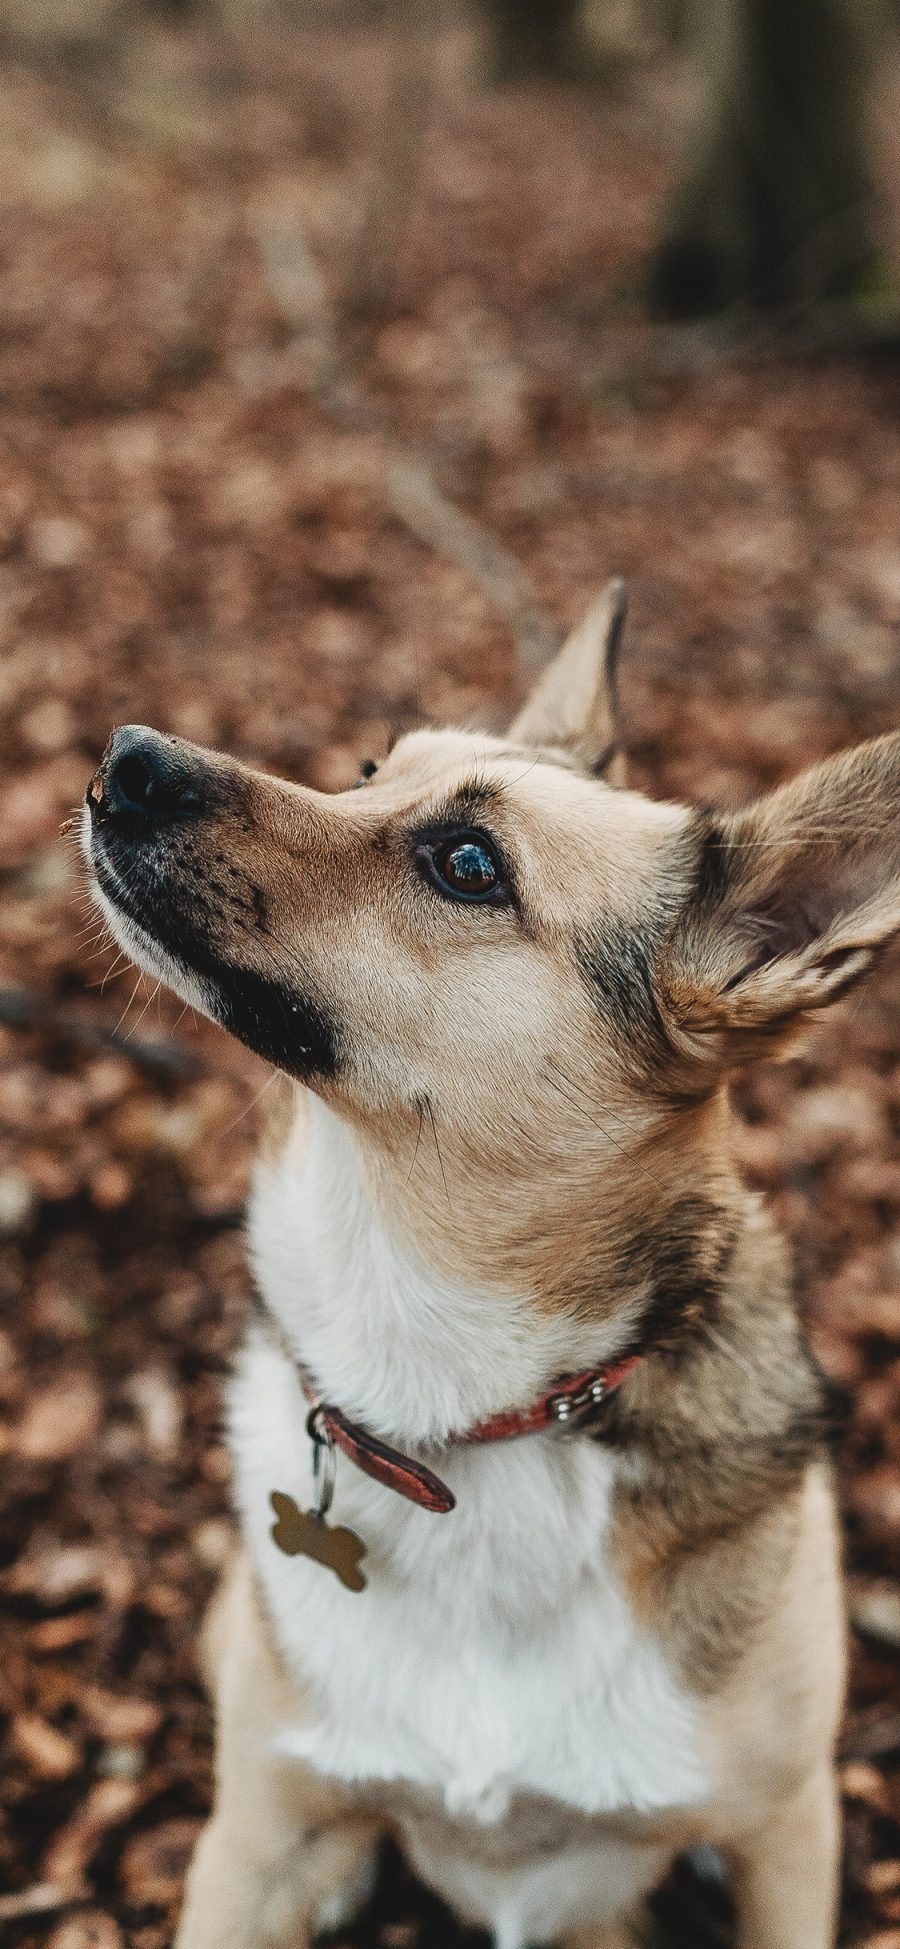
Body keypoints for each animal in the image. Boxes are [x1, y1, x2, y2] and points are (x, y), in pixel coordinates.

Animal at [80, 580, 896, 1949]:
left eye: (467, 863)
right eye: (370, 771)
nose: (126, 753)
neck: (458, 1412)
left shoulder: (789, 1837)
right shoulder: (250, 1839)